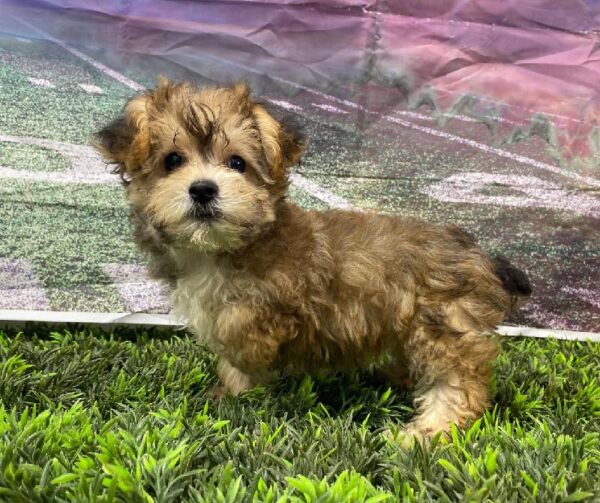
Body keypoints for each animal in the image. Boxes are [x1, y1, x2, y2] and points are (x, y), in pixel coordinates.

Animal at [94, 79, 528, 444]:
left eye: (237, 163)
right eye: (172, 161)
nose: (202, 189)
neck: (221, 250)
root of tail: (481, 255)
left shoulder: (283, 296)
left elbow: (240, 329)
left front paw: (248, 363)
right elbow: (234, 363)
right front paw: (233, 395)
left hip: (444, 324)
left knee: (458, 384)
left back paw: (426, 433)